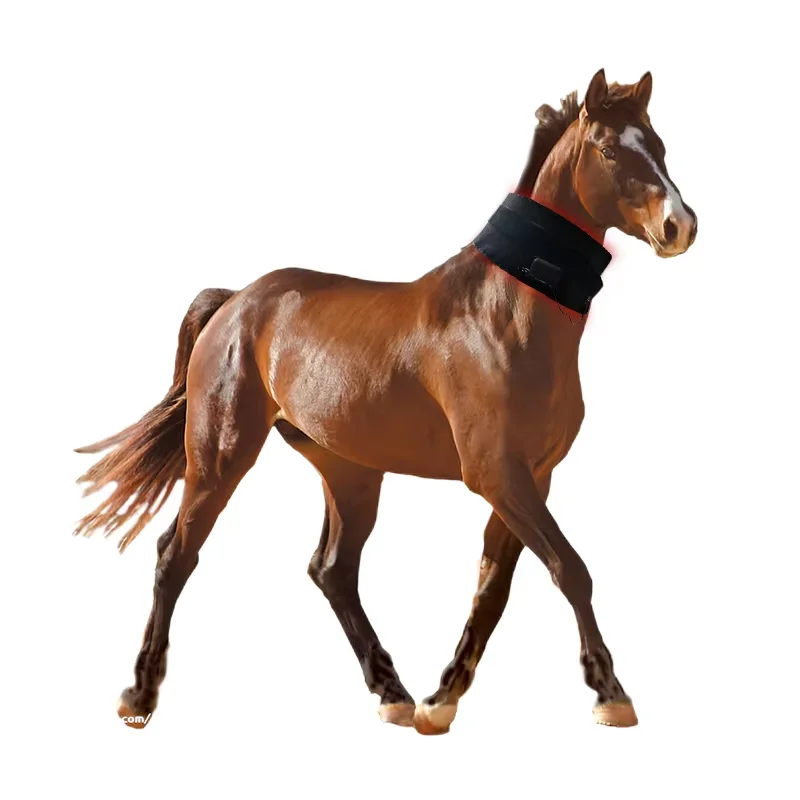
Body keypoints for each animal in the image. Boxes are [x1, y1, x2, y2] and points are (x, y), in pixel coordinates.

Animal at [74, 68, 697, 734]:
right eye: (608, 150)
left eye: (659, 146)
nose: (680, 226)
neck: (502, 315)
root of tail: (236, 301)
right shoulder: (497, 474)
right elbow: (570, 570)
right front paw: (610, 692)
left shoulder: (532, 477)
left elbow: (493, 589)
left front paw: (441, 699)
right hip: (220, 456)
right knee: (176, 555)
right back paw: (139, 695)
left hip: (349, 471)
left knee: (332, 571)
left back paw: (392, 692)